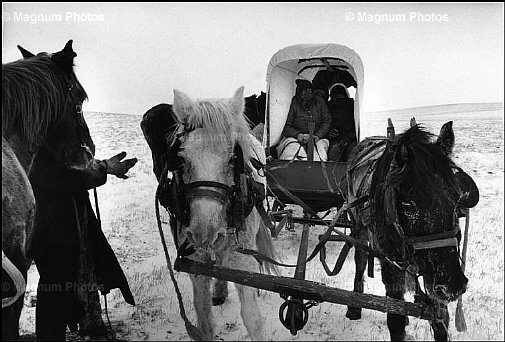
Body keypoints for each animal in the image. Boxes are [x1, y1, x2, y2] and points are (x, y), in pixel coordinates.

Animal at [171, 87, 278, 340]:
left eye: (232, 158)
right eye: (182, 159)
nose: (203, 235)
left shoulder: (243, 263)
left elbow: (252, 319)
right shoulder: (195, 268)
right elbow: (204, 323)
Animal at [344, 121, 478, 340]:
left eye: (457, 199)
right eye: (408, 205)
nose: (452, 285)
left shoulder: (433, 275)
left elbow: (441, 320)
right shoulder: (392, 266)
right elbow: (395, 319)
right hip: (358, 228)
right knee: (361, 260)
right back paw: (354, 306)